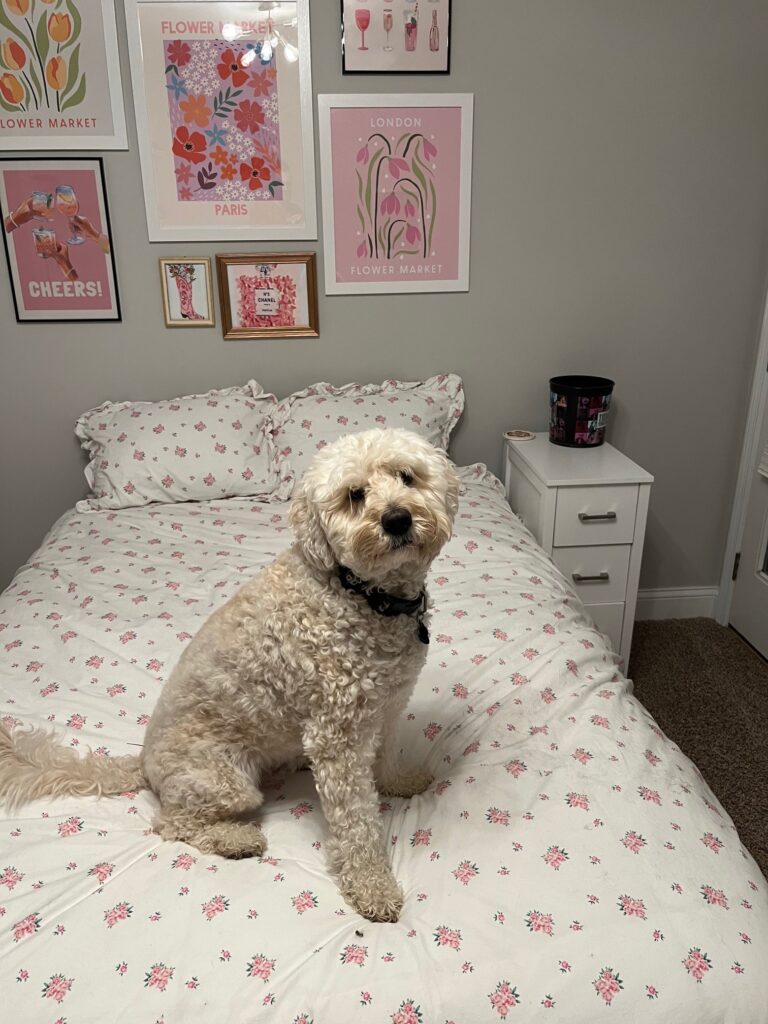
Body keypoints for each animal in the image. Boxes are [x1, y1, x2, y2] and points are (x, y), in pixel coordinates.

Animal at [0, 428, 459, 922]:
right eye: (354, 495)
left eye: (406, 476)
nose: (396, 519)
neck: (361, 593)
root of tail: (143, 764)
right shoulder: (338, 739)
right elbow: (356, 823)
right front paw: (373, 887)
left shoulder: (388, 704)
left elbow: (387, 754)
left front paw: (398, 783)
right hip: (228, 783)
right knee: (172, 823)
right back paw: (235, 838)